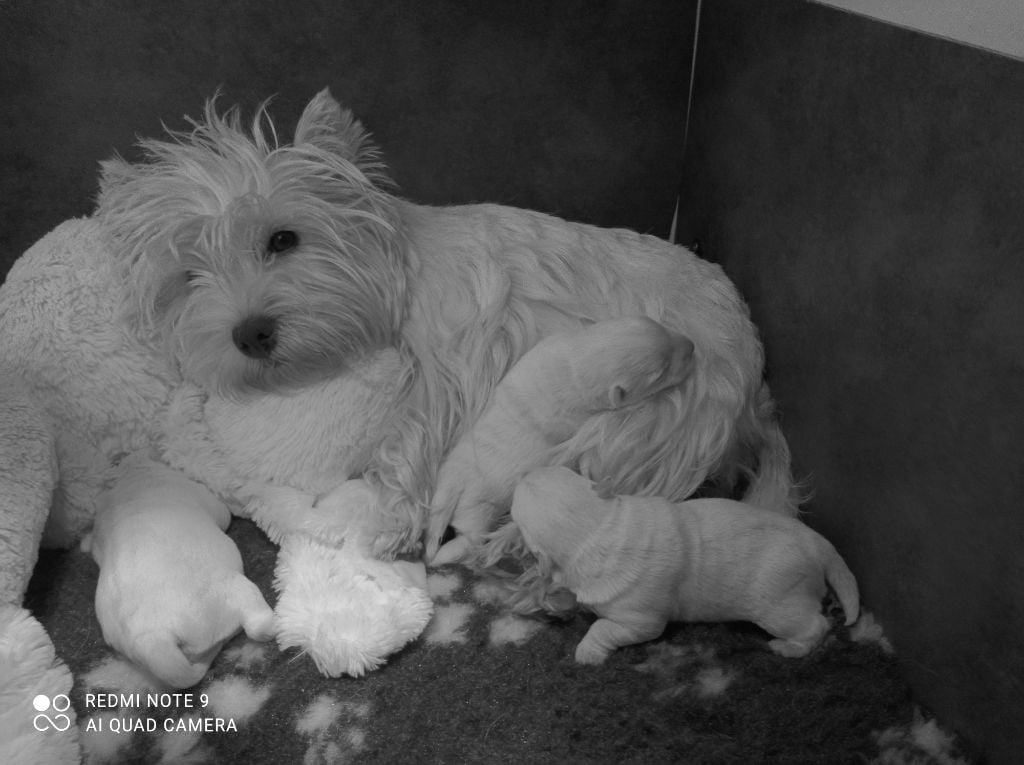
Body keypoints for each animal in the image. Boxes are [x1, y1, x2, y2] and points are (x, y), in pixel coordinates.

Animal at [423, 313, 696, 565]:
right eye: (660, 373)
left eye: (656, 323)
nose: (692, 346)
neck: (577, 360)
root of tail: (455, 490)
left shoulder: (546, 348)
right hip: (477, 511)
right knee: (470, 537)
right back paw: (445, 555)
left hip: (445, 481)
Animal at [509, 466, 856, 663]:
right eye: (570, 472)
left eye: (515, 510)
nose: (522, 474)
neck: (599, 527)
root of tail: (818, 544)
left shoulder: (637, 617)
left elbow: (606, 627)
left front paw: (587, 652)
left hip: (780, 602)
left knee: (814, 625)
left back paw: (788, 648)